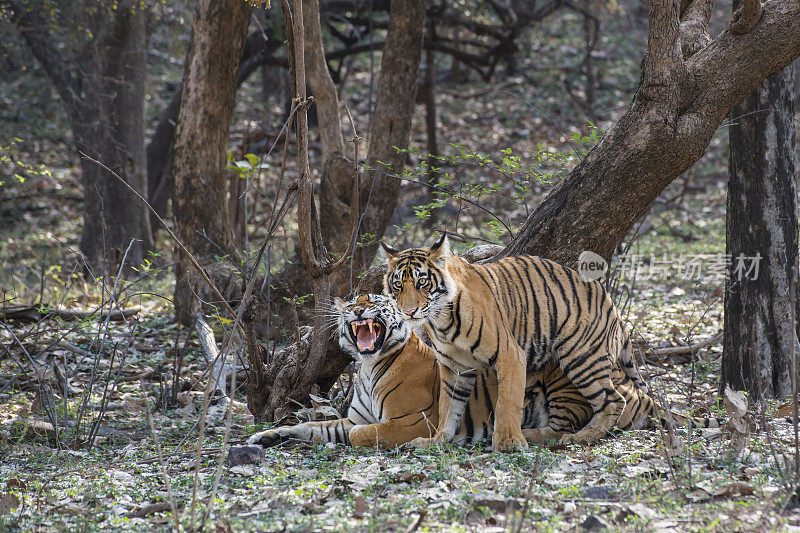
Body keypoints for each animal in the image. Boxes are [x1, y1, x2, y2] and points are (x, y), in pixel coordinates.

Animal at [248, 294, 712, 446]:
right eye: (351, 302)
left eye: (374, 301)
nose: (356, 310)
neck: (368, 365)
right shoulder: (351, 415)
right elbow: (314, 426)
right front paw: (265, 436)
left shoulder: (409, 421)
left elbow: (363, 434)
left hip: (562, 379)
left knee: (564, 430)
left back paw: (517, 435)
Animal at [380, 235, 644, 446]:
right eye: (398, 285)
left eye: (422, 282)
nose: (408, 311)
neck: (440, 321)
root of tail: (613, 307)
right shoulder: (455, 368)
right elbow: (449, 407)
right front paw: (437, 441)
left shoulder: (510, 355)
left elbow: (507, 402)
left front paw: (508, 443)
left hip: (582, 358)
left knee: (612, 401)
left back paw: (580, 437)